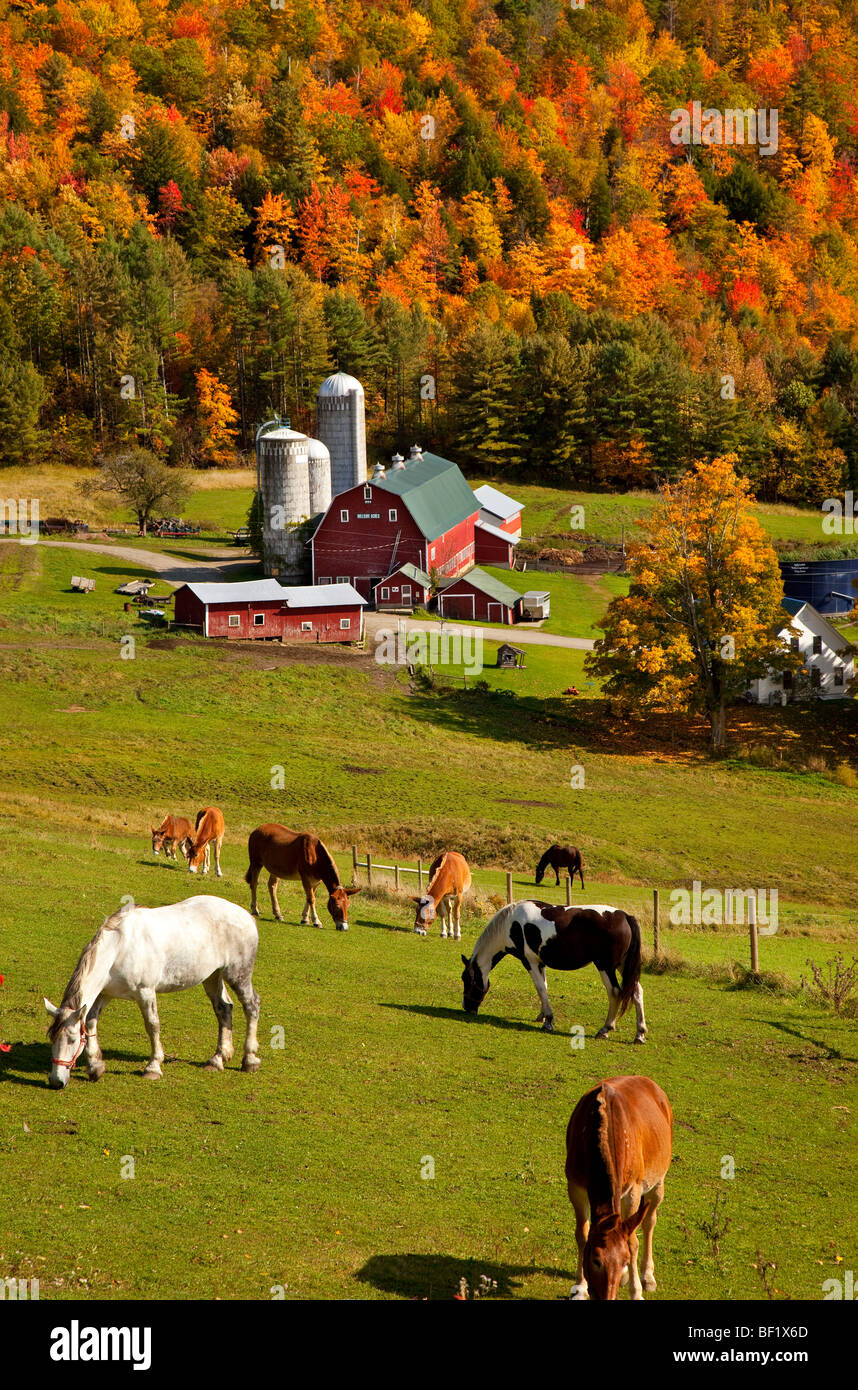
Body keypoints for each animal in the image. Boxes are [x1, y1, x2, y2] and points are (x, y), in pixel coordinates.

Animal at [43, 896, 261, 1087]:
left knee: (252, 1006)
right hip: (212, 976)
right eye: (52, 1038)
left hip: (238, 974)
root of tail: (244, 915)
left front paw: (153, 1067)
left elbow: (152, 1025)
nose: (56, 1081)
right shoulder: (105, 994)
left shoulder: (145, 992)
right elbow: (90, 1022)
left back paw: (249, 1060)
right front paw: (95, 1066)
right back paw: (218, 1059)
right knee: (224, 1008)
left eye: (72, 1040)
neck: (120, 947)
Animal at [460, 900, 646, 1040]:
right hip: (623, 966)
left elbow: (540, 988)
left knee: (614, 992)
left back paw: (605, 1029)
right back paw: (640, 1033)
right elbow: (544, 987)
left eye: (467, 980)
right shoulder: (540, 963)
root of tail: (624, 916)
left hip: (605, 966)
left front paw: (548, 1021)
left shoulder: (530, 962)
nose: (467, 1008)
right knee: (637, 991)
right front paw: (542, 1015)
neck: (511, 924)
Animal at [565, 1075, 673, 1300]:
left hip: (658, 1180)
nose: (607, 1296)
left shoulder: (633, 1189)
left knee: (649, 1220)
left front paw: (636, 1292)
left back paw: (648, 1276)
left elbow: (632, 1241)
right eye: (596, 1260)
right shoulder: (575, 1184)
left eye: (624, 1259)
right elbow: (582, 1233)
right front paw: (580, 1287)